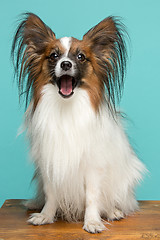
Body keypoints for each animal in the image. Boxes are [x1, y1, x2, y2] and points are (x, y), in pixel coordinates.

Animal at [11, 12, 146, 232]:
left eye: (81, 57)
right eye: (54, 56)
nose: (66, 64)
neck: (67, 107)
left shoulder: (93, 166)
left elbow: (92, 196)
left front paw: (92, 221)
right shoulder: (51, 162)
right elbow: (51, 194)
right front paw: (46, 215)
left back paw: (112, 211)